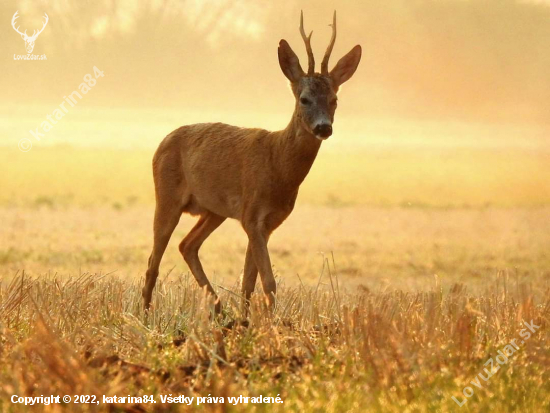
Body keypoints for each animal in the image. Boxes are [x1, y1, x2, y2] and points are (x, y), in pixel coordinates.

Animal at [143, 11, 362, 310]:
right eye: (304, 99)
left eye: (335, 99)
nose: (323, 127)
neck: (278, 165)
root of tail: (162, 142)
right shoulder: (252, 215)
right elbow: (268, 283)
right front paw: (270, 321)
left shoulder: (267, 222)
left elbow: (249, 281)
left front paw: (245, 318)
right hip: (167, 196)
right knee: (153, 262)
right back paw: (144, 314)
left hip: (214, 210)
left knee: (187, 245)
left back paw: (219, 309)